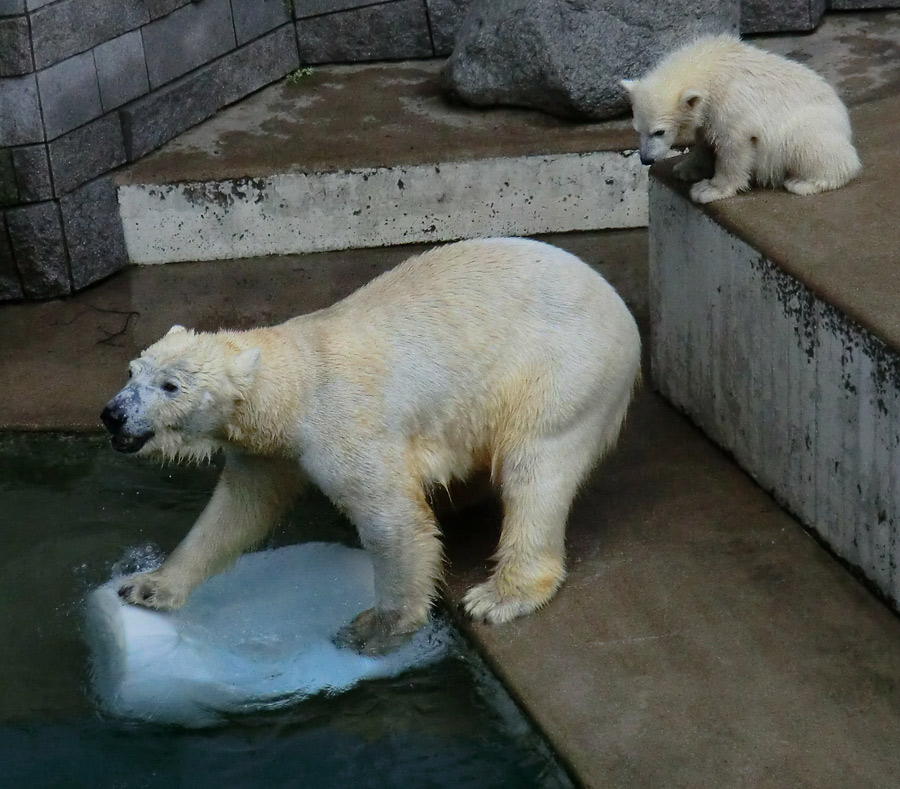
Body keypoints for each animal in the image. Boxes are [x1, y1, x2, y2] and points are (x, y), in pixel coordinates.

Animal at [100, 239, 640, 652]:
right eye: (131, 370)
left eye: (171, 385)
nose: (113, 414)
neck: (294, 387)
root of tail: (621, 310)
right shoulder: (264, 450)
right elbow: (235, 513)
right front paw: (148, 587)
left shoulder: (343, 425)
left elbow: (394, 522)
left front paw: (376, 628)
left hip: (561, 371)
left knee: (536, 469)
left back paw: (499, 595)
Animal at [624, 36, 860, 203]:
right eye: (637, 129)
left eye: (659, 131)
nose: (646, 159)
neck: (710, 65)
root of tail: (844, 120)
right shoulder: (708, 110)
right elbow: (705, 137)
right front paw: (687, 169)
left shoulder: (731, 103)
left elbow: (734, 146)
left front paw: (709, 189)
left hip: (811, 125)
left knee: (809, 147)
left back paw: (802, 183)